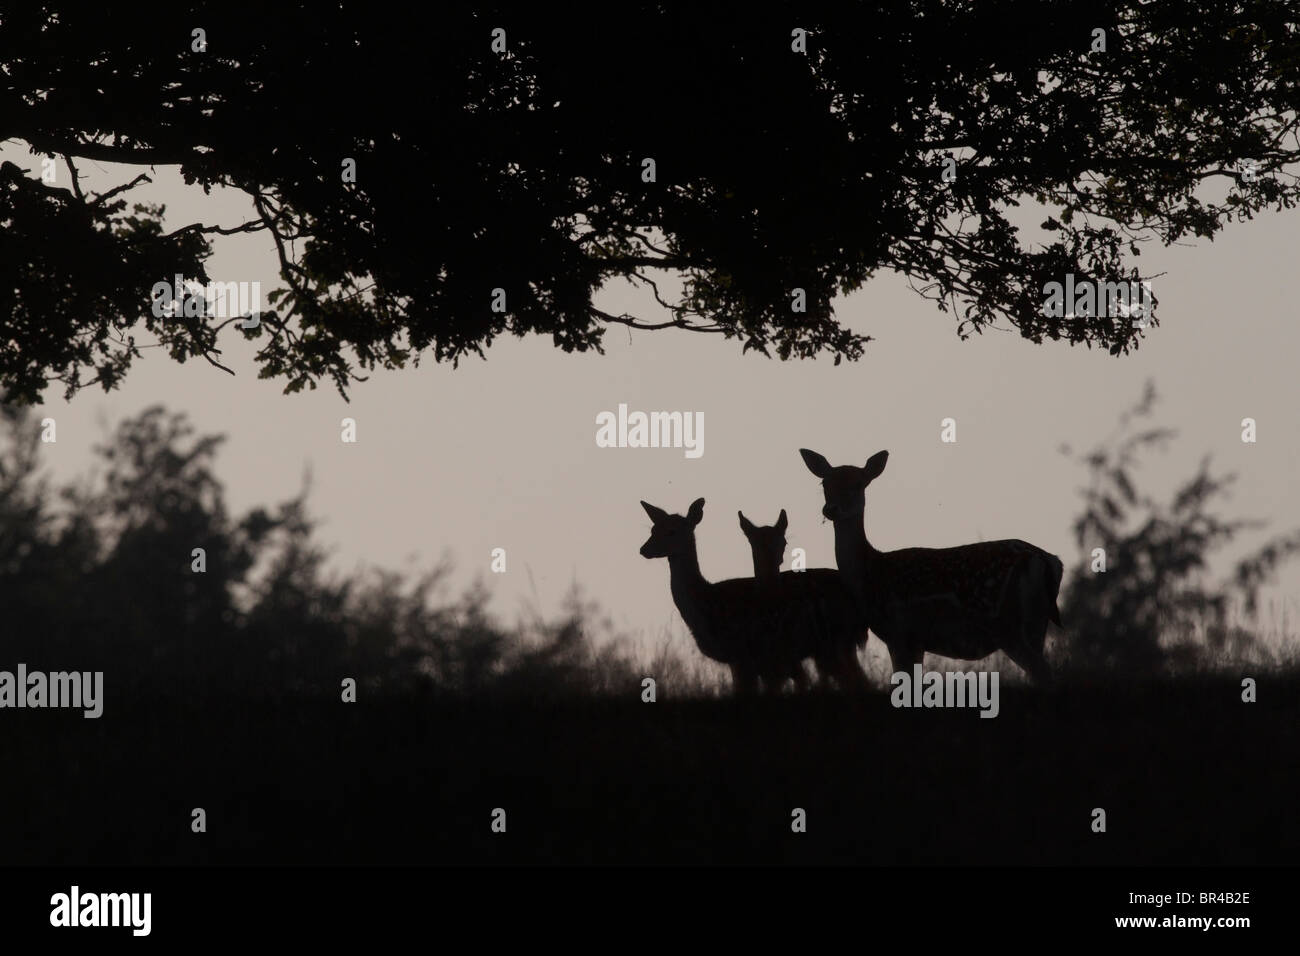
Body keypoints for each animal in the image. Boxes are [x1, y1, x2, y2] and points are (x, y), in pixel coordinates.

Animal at [795, 447, 1060, 681]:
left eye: (859, 483)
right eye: (824, 484)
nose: (831, 509)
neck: (870, 574)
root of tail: (1047, 561)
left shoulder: (900, 633)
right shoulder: (915, 642)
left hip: (1006, 623)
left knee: (1044, 673)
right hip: (1036, 623)